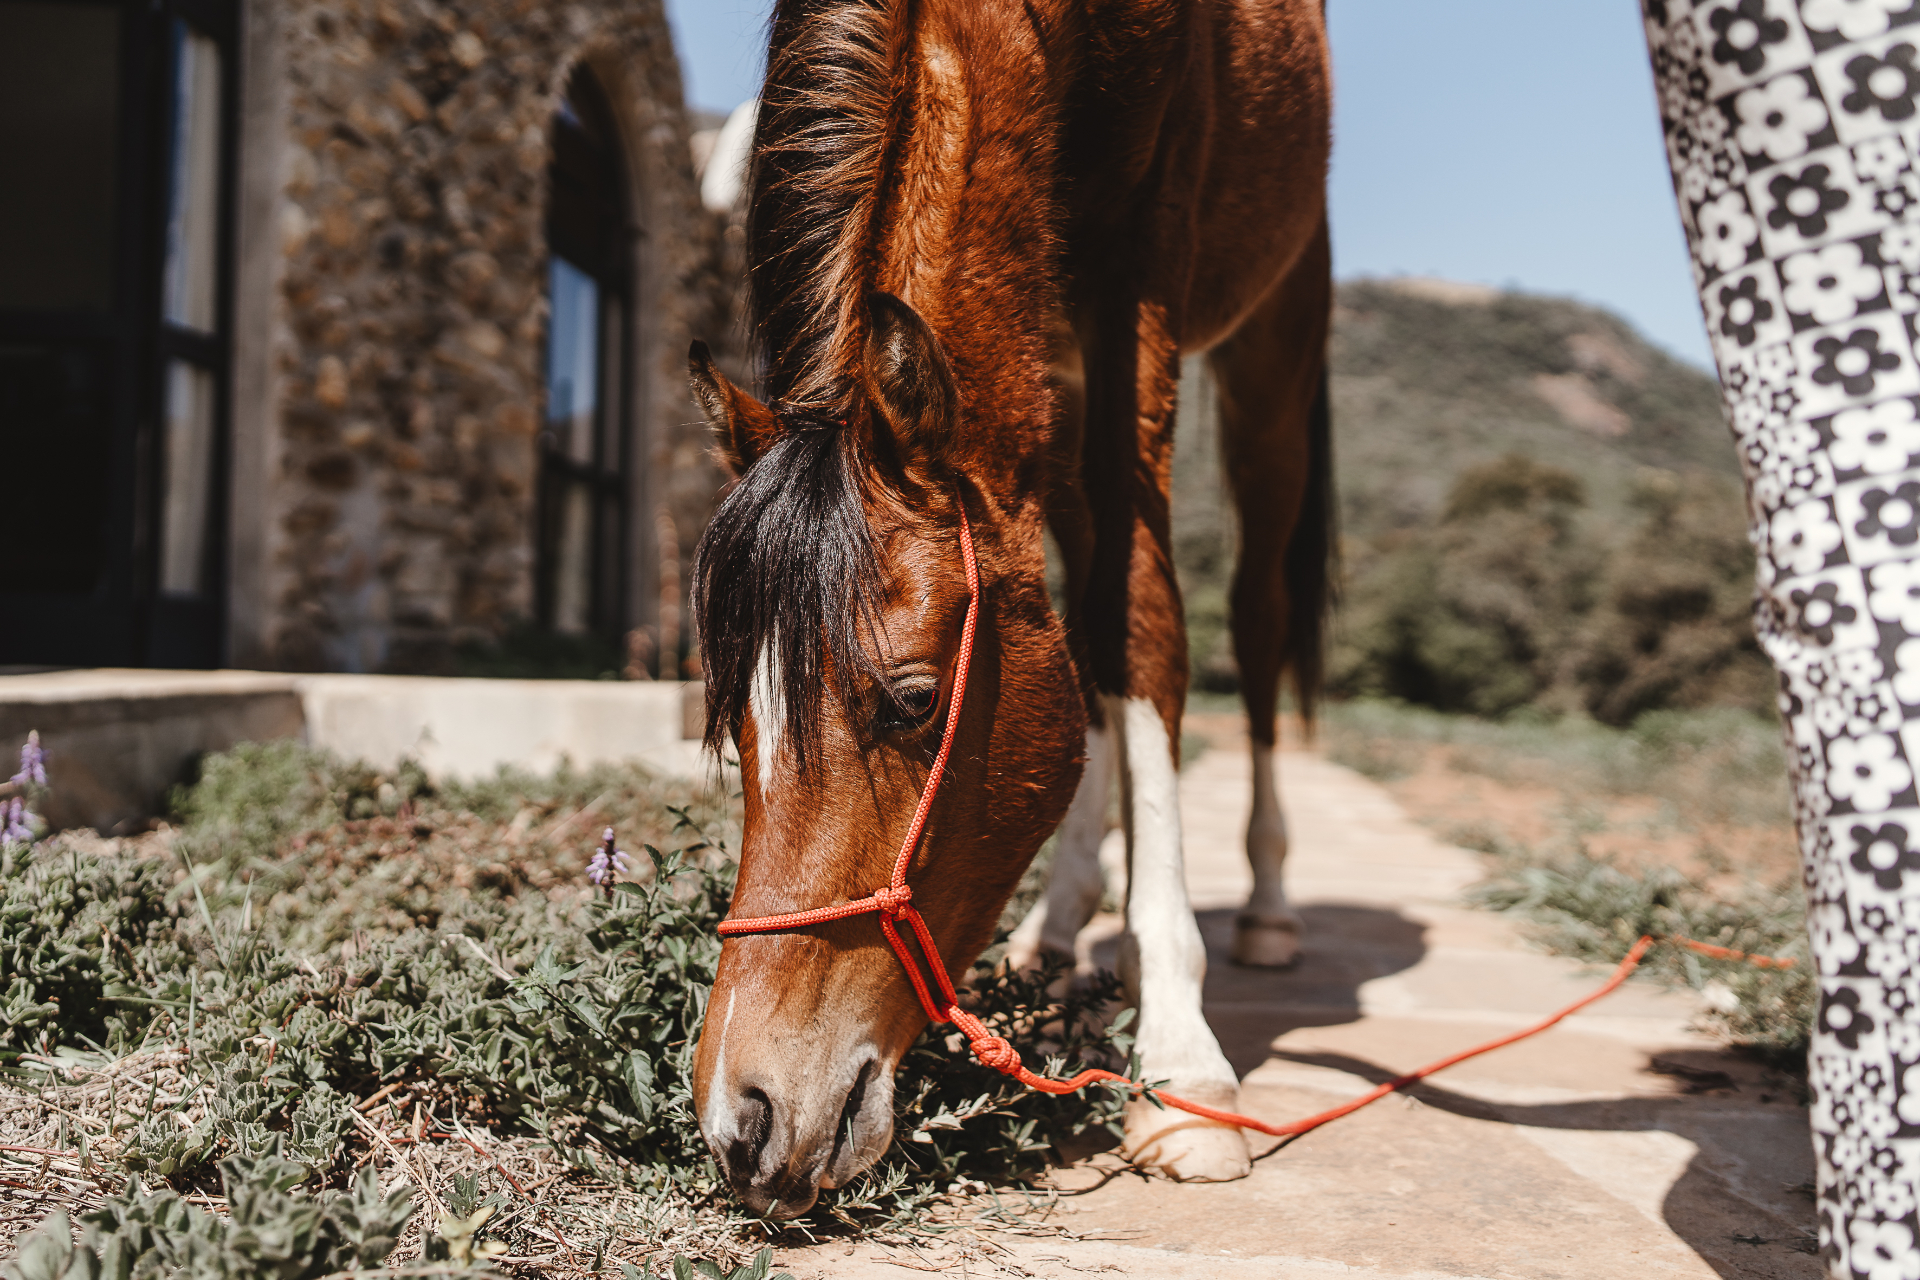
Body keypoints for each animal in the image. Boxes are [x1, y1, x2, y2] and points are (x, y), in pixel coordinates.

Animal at [684, 0, 1332, 1218]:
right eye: (737, 724)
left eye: (909, 703)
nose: (744, 1121)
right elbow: (1094, 653)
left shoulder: (1144, 272)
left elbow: (1145, 626)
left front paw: (1183, 1067)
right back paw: (1061, 920)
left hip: (1274, 346)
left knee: (1256, 620)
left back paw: (1269, 902)